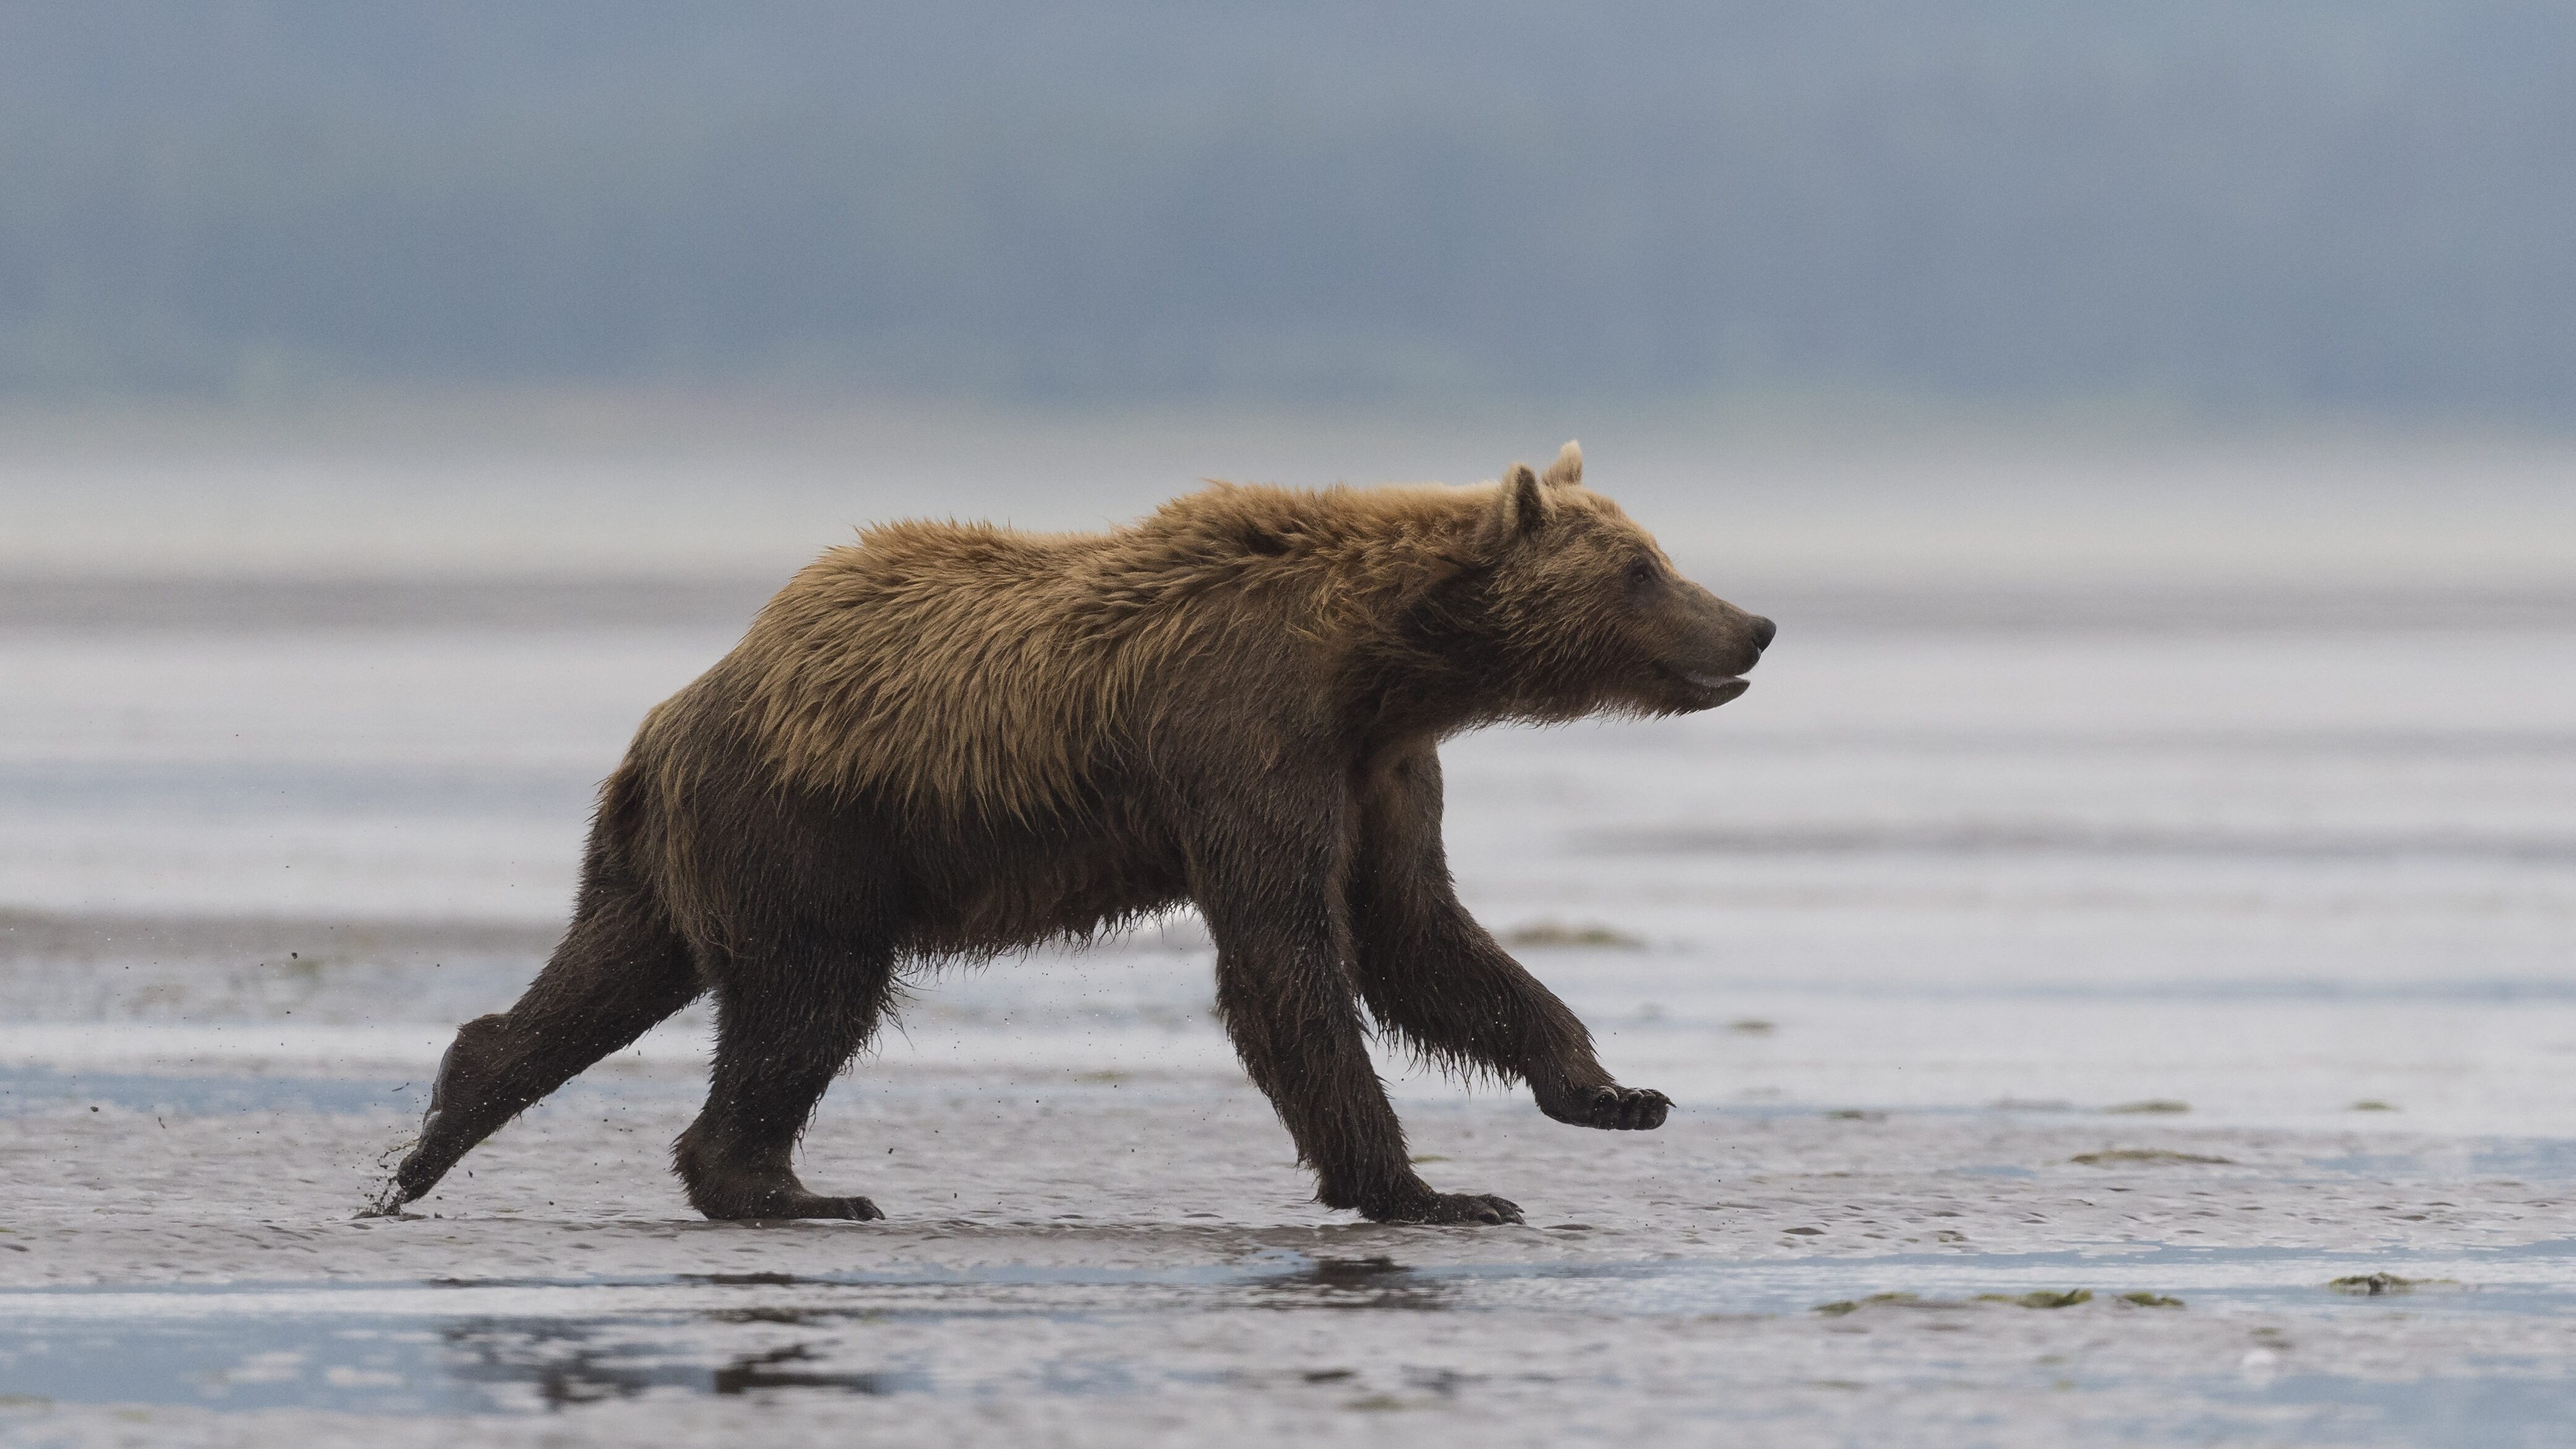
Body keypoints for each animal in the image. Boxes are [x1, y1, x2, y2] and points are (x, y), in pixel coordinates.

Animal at [373, 442, 1773, 1225]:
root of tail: (671, 715)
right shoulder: (1245, 738)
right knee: (807, 999)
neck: (1377, 664)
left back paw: (436, 1137)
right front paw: (1433, 1188)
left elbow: (1421, 932)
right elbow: (1289, 960)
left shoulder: (1378, 769)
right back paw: (790, 1186)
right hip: (804, 829)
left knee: (606, 974)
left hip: (686, 858)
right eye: (1643, 567)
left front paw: (1613, 1090)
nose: (1754, 623)